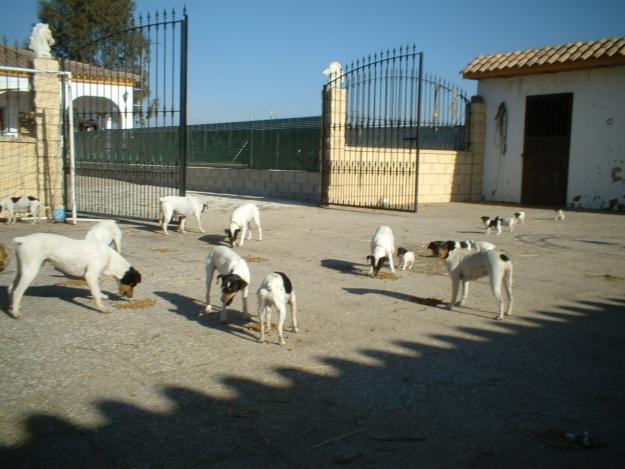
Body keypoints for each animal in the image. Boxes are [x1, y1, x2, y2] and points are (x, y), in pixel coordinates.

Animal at [8, 233, 141, 318]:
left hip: (22, 270)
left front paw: (103, 296)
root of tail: (25, 239)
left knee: (11, 287)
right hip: (30, 271)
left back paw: (12, 306)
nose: (131, 298)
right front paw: (103, 309)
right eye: (132, 284)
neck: (111, 259)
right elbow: (96, 295)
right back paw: (16, 314)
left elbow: (97, 292)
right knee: (17, 292)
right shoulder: (90, 276)